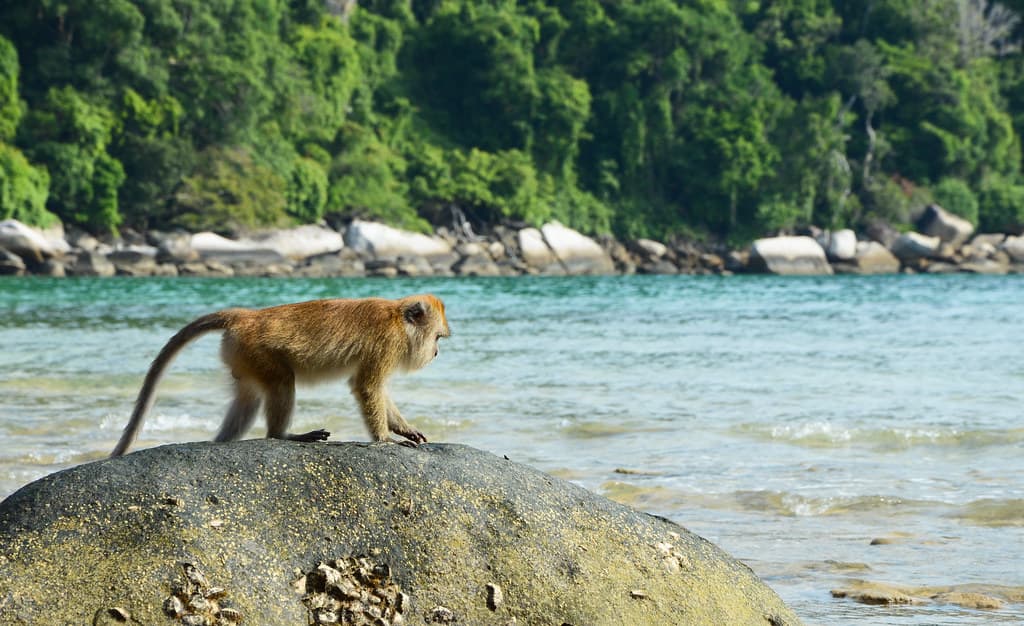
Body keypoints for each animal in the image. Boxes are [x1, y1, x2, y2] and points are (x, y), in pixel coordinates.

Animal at [110, 294, 450, 457]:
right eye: (437, 337)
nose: (436, 353)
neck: (398, 319)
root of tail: (246, 316)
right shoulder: (385, 344)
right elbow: (367, 387)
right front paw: (385, 439)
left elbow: (376, 389)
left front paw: (404, 429)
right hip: (257, 352)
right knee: (282, 382)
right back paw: (282, 435)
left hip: (241, 356)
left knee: (248, 398)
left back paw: (222, 441)